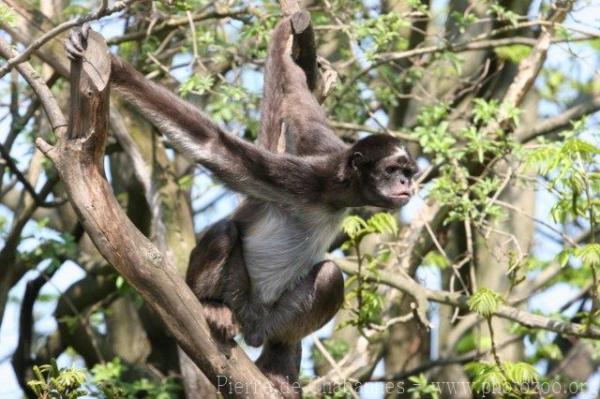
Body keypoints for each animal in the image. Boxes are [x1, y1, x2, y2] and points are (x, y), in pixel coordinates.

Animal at [63, 11, 414, 396]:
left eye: (408, 171)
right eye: (392, 170)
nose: (406, 184)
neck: (333, 191)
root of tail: (253, 324)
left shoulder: (323, 149)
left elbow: (298, 101)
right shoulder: (299, 175)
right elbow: (213, 144)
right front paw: (117, 67)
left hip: (275, 318)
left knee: (327, 278)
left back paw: (276, 363)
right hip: (238, 298)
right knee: (225, 231)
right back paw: (211, 305)